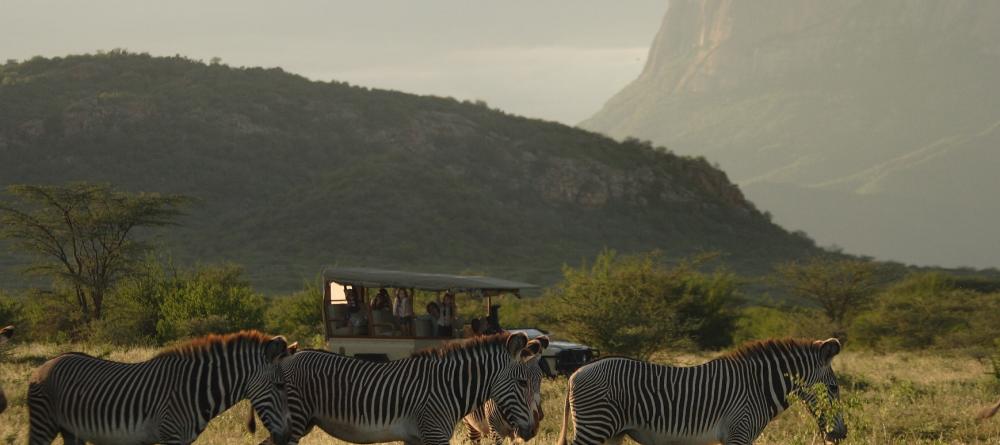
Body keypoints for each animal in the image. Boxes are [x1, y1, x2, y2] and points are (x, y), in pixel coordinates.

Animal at [27, 330, 292, 444]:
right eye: (279, 386)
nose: (287, 437)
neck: (194, 388)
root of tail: (46, 364)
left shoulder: (183, 441)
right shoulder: (171, 435)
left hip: (71, 430)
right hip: (44, 423)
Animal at [252, 332, 548, 442]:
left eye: (540, 381)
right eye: (522, 382)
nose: (533, 429)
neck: (448, 387)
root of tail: (288, 355)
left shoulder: (416, 438)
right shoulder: (433, 434)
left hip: (301, 423)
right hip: (295, 420)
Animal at [556, 336, 844, 444]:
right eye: (833, 388)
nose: (841, 434)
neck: (758, 388)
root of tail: (577, 373)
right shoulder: (738, 431)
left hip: (612, 433)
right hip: (595, 426)